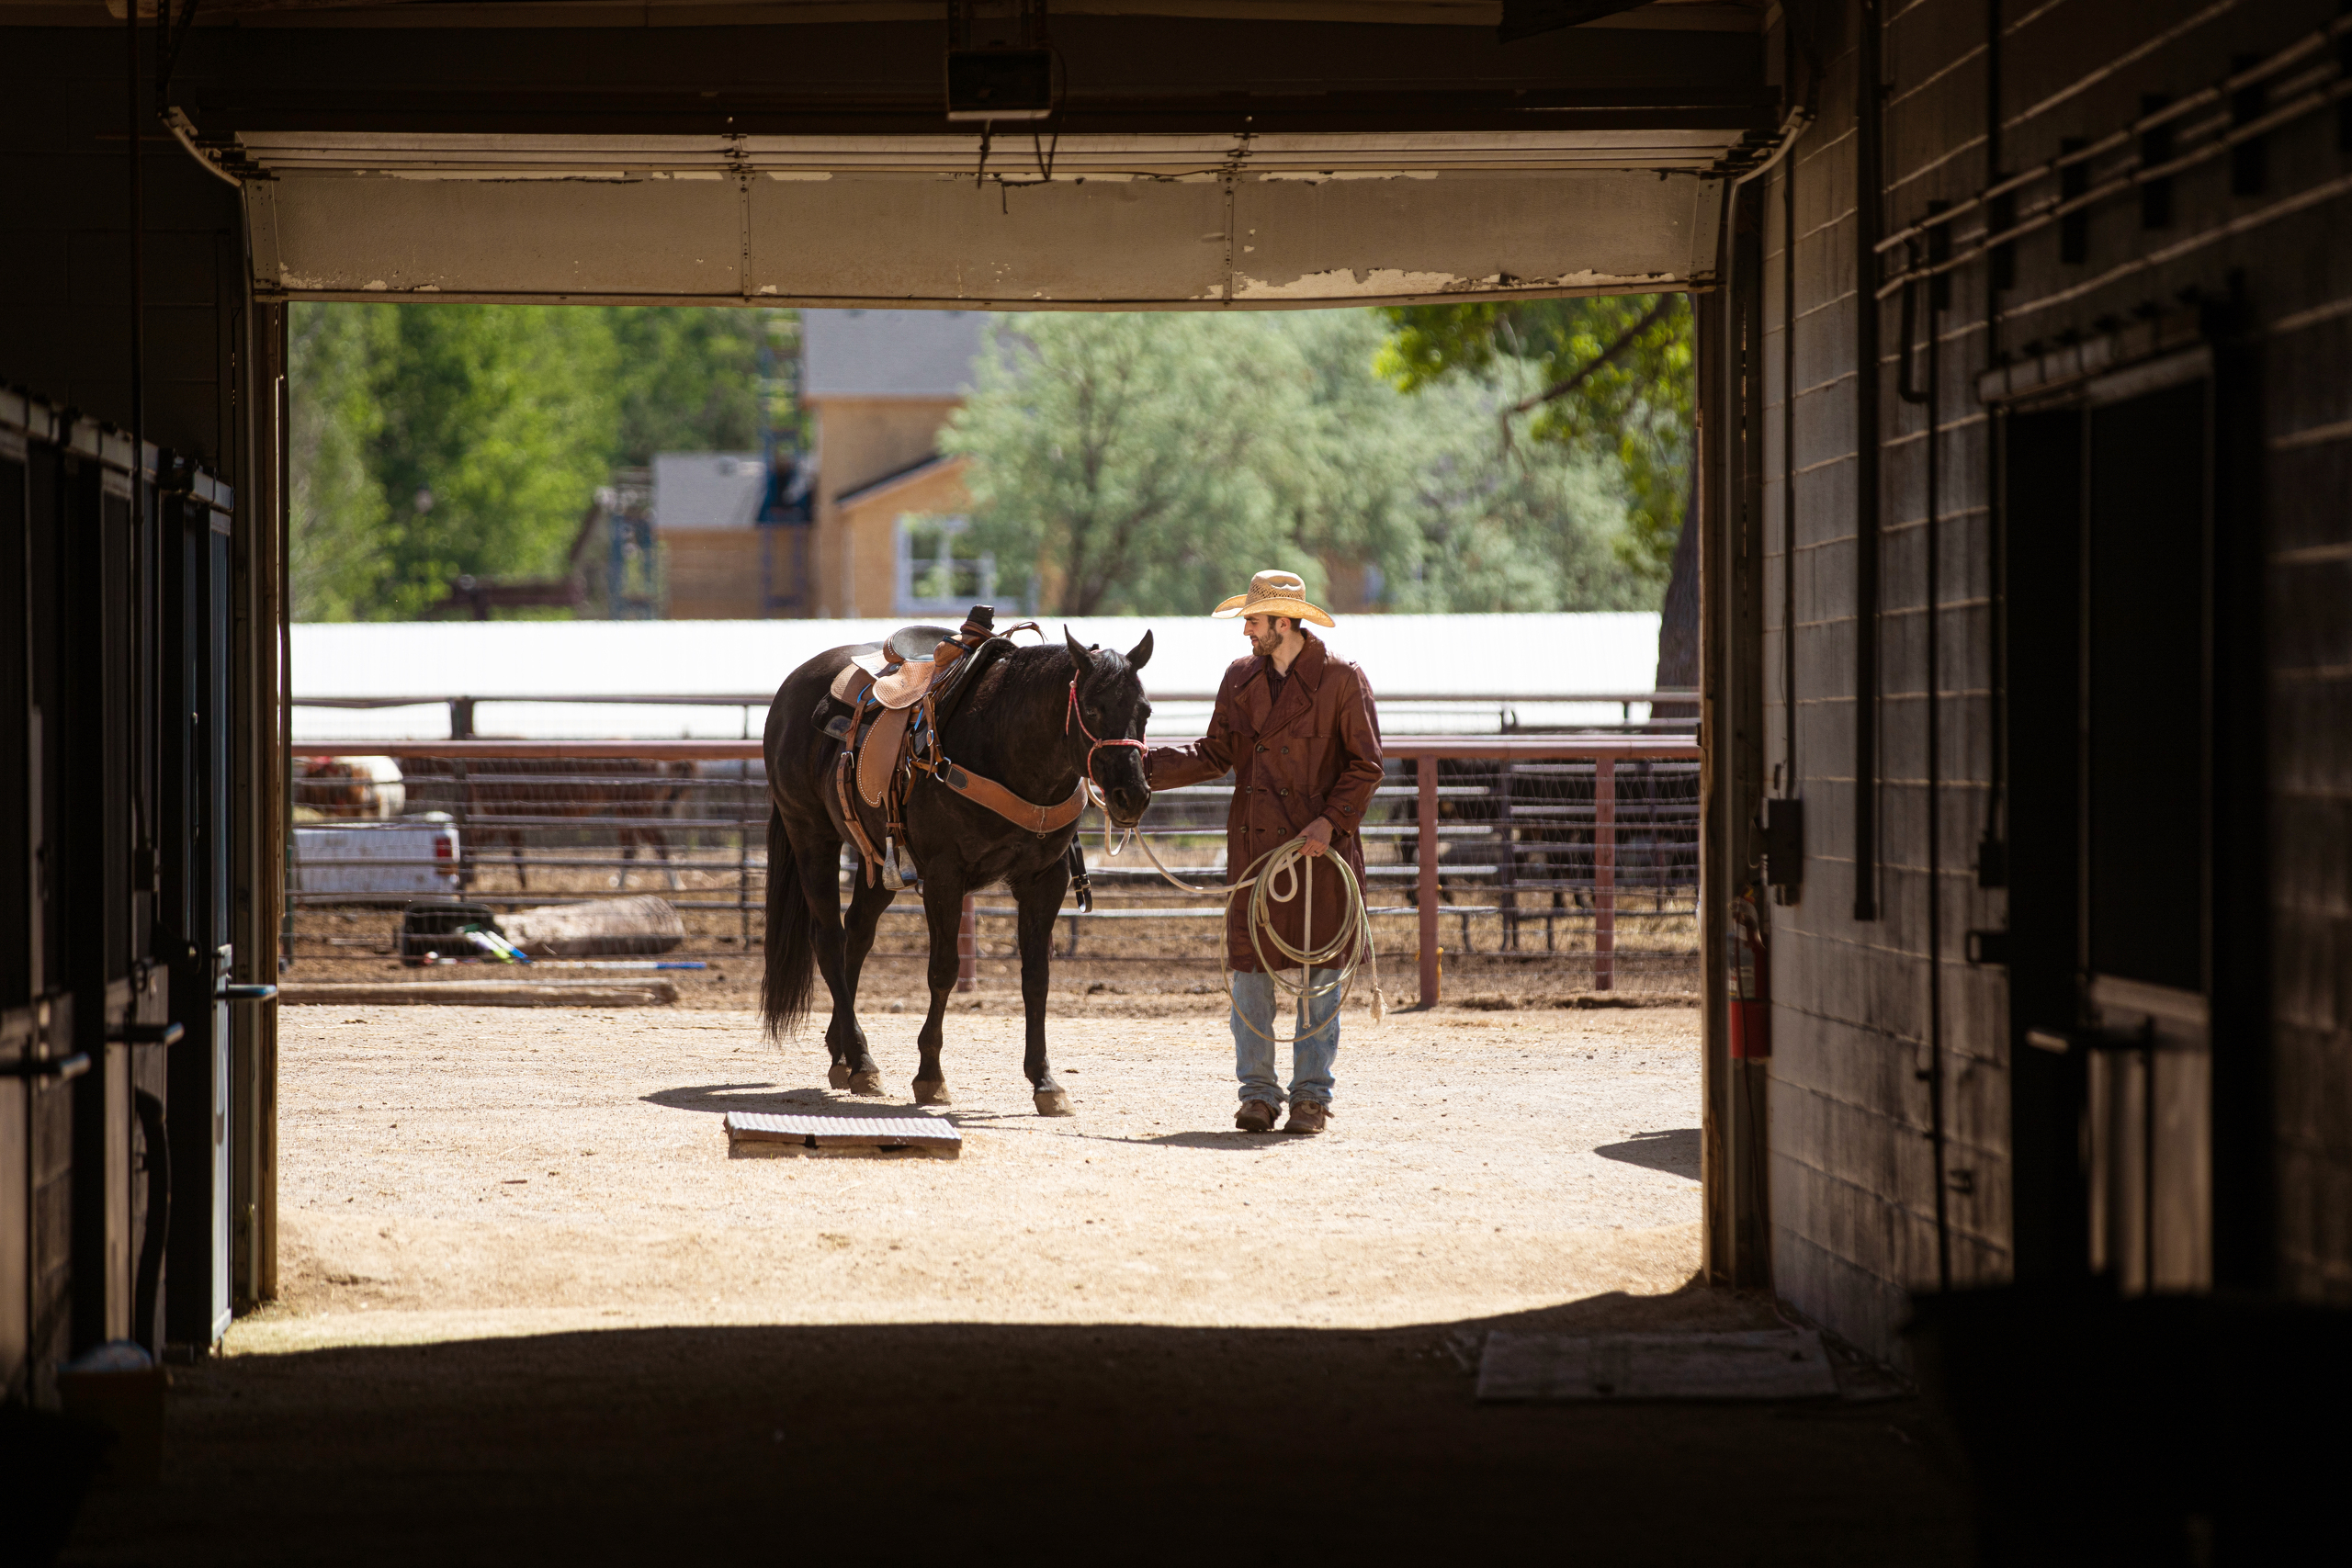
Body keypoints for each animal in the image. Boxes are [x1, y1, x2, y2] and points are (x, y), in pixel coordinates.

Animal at [400, 751, 691, 888]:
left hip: (636, 810)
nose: (403, 793)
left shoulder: (502, 813)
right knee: (633, 847)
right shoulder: (503, 815)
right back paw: (619, 885)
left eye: (407, 766)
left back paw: (674, 884)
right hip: (627, 812)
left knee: (657, 844)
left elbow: (503, 845)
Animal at [757, 625, 1152, 1114]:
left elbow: (1036, 977)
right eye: (1094, 708)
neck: (1006, 741)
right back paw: (864, 1062)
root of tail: (791, 690)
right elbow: (943, 970)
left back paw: (844, 1055)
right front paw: (930, 1076)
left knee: (858, 936)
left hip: (881, 860)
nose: (1131, 796)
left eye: (1145, 711)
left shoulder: (1045, 880)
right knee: (829, 940)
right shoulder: (945, 876)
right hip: (812, 838)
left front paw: (1045, 1082)